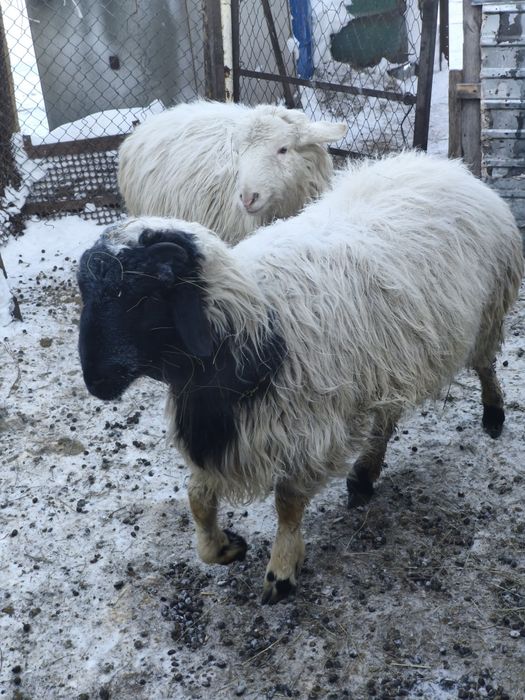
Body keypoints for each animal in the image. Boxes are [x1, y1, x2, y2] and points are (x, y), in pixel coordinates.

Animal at [77, 151, 523, 604]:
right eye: (87, 292)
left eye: (141, 295)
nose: (94, 381)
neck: (255, 328)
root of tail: (446, 165)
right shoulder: (221, 433)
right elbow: (198, 499)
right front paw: (223, 547)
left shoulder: (308, 432)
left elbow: (287, 503)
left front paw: (282, 569)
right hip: (387, 361)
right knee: (386, 415)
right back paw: (365, 475)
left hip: (487, 311)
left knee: (484, 364)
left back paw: (493, 414)